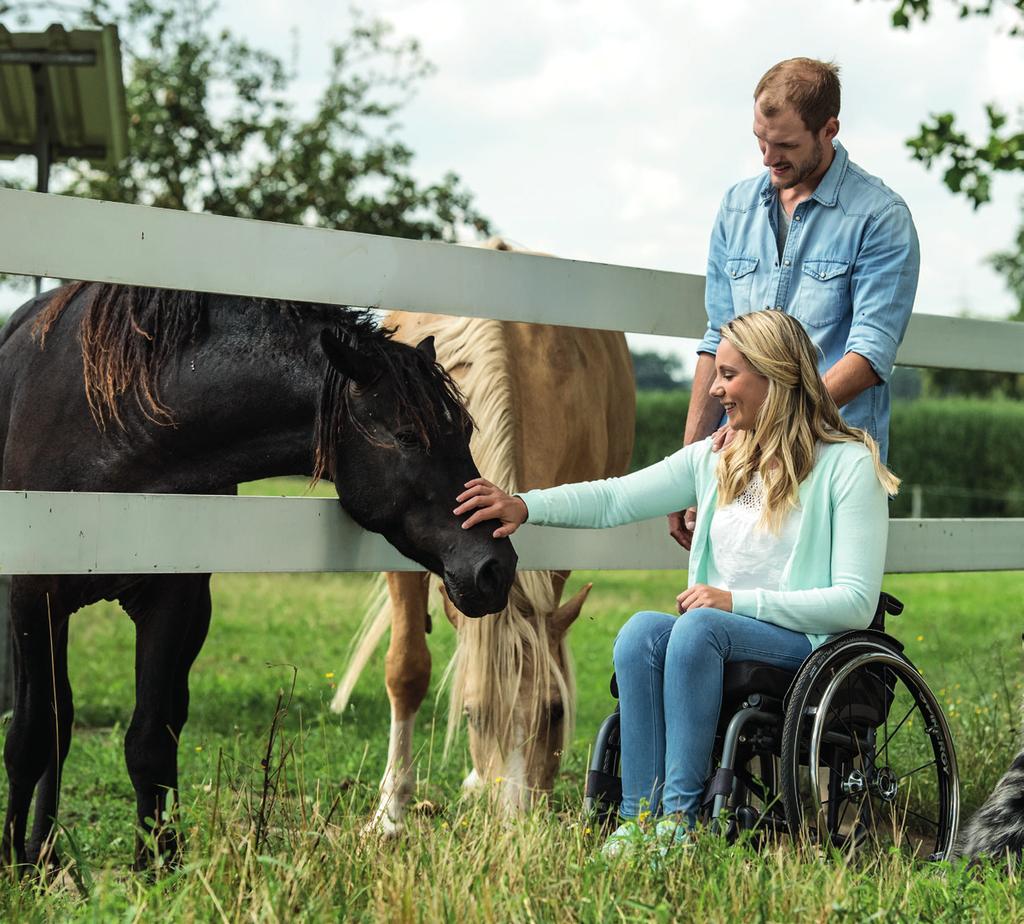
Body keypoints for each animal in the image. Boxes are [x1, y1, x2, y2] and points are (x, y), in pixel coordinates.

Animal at [0, 280, 516, 868]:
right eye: (409, 436)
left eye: (465, 431)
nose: (494, 568)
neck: (111, 424)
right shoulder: (32, 594)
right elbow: (30, 736)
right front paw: (18, 866)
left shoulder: (170, 596)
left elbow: (150, 739)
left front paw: (159, 865)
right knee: (54, 721)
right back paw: (40, 852)